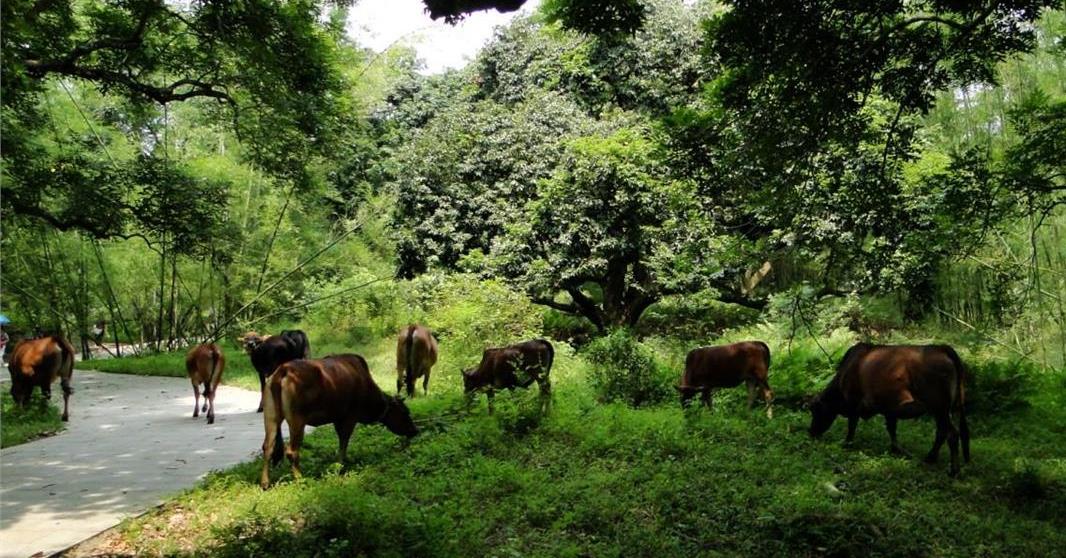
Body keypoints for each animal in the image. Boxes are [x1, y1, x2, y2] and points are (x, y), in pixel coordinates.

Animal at [260, 354, 417, 488]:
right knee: (292, 451)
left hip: (271, 416)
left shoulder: (338, 418)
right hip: (297, 420)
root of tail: (283, 370)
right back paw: (300, 479)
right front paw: (341, 466)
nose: (415, 430)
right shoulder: (350, 417)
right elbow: (344, 441)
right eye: (405, 412)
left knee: (268, 446)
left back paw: (265, 482)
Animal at [805, 345, 976, 475]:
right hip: (945, 410)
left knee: (951, 434)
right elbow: (891, 429)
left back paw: (953, 470)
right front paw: (896, 449)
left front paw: (847, 443)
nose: (811, 432)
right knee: (942, 432)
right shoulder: (890, 408)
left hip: (939, 408)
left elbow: (852, 425)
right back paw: (930, 458)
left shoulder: (854, 403)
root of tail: (940, 347)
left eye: (815, 410)